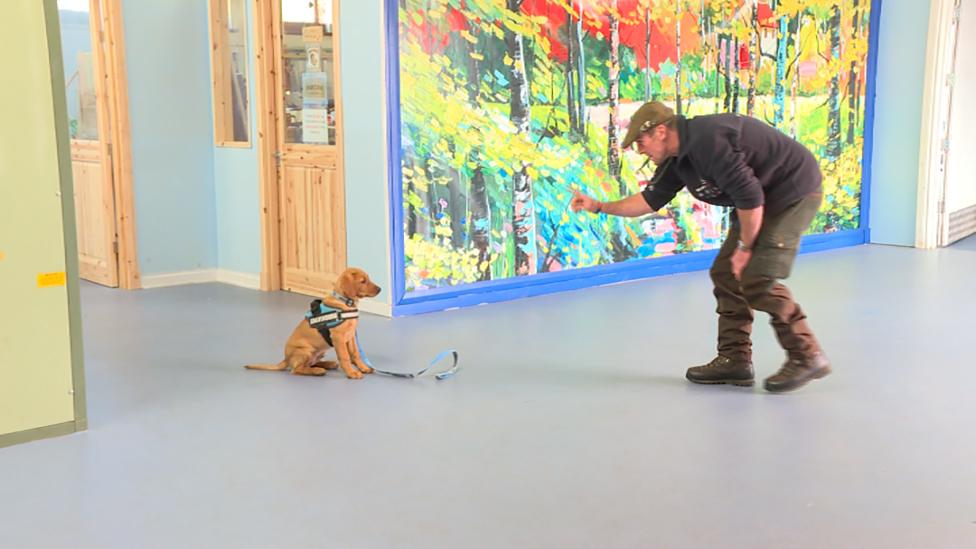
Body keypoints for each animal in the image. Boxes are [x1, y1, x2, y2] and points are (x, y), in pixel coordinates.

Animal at [244, 268, 382, 378]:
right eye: (363, 281)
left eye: (368, 279)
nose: (380, 289)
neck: (345, 303)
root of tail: (285, 360)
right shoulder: (338, 338)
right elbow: (345, 357)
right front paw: (351, 373)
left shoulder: (351, 336)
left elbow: (355, 354)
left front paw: (363, 368)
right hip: (306, 350)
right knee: (296, 370)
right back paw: (317, 371)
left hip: (319, 352)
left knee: (310, 363)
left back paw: (327, 364)